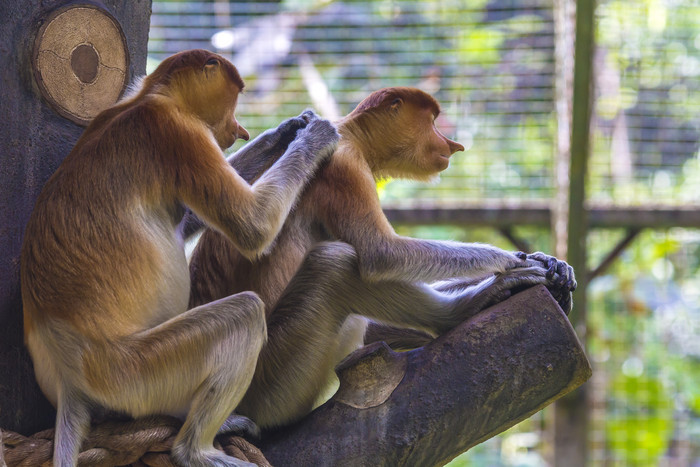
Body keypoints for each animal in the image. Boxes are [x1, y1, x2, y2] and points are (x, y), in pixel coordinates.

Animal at [21, 48, 340, 467]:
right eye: (235, 96)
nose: (239, 130)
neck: (151, 97)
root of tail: (69, 375)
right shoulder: (178, 133)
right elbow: (251, 226)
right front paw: (315, 135)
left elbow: (189, 219)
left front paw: (286, 129)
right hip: (133, 372)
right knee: (244, 315)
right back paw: (197, 451)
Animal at [186, 87, 576, 432]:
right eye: (432, 121)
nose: (453, 145)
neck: (353, 136)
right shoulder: (344, 166)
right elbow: (380, 252)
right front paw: (509, 262)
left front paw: (551, 265)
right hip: (269, 382)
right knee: (334, 265)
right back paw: (465, 308)